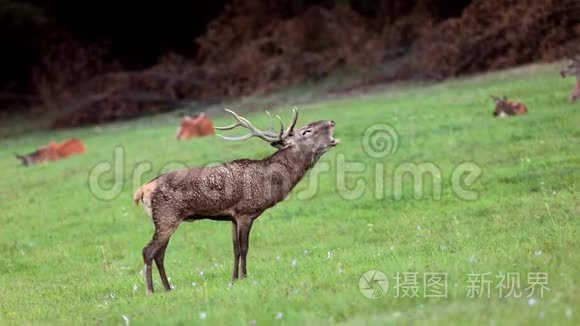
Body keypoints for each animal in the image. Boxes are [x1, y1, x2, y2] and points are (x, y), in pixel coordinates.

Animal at [133, 108, 338, 294]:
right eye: (306, 131)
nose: (331, 122)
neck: (271, 183)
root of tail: (142, 190)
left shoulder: (232, 218)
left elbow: (235, 249)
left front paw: (234, 279)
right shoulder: (246, 212)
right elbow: (244, 248)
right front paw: (245, 277)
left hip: (165, 220)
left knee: (159, 254)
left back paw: (168, 288)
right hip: (166, 217)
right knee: (148, 251)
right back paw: (150, 290)